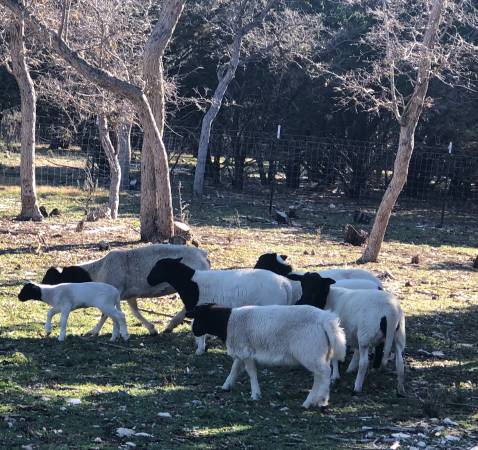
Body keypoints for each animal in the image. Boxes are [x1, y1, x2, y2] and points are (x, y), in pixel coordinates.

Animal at [42, 244, 210, 336]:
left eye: (51, 278)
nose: (41, 288)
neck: (97, 270)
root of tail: (203, 255)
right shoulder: (129, 295)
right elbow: (135, 311)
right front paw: (151, 329)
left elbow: (105, 314)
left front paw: (94, 331)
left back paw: (171, 324)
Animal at [148, 256, 294, 356]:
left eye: (158, 268)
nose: (149, 280)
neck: (189, 282)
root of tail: (285, 284)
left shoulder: (199, 310)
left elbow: (199, 331)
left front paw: (199, 350)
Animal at [185, 302, 346, 408]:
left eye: (199, 316)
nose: (193, 331)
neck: (228, 322)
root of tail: (325, 319)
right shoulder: (241, 352)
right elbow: (235, 368)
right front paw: (226, 385)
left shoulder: (246, 351)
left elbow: (251, 372)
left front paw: (255, 394)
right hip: (320, 353)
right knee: (321, 375)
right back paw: (318, 399)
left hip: (310, 351)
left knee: (323, 374)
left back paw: (316, 400)